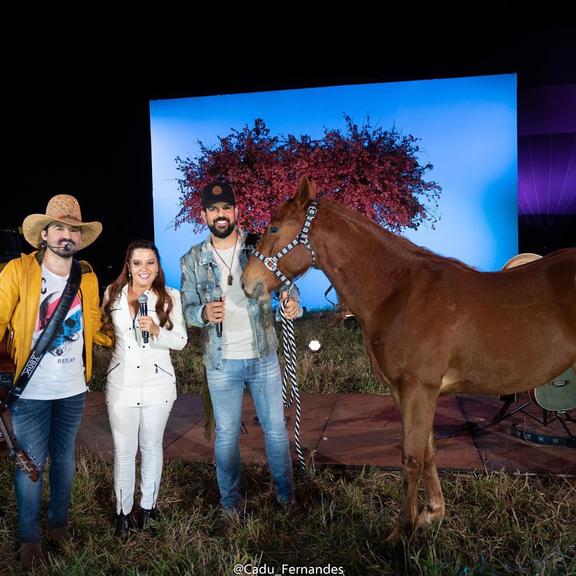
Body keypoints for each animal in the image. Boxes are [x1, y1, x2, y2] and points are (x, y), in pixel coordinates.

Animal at [242, 177, 576, 540]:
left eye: (274, 227)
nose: (247, 283)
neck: (399, 293)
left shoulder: (419, 388)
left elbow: (411, 459)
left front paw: (402, 532)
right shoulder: (404, 391)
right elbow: (427, 452)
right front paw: (431, 514)